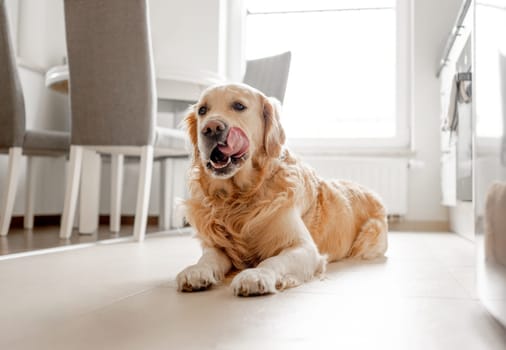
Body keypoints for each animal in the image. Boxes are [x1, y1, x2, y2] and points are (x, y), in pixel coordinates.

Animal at [178, 83, 388, 296]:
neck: (240, 197)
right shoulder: (216, 245)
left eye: (238, 106)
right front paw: (196, 270)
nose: (211, 128)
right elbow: (208, 258)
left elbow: (272, 261)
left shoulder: (304, 247)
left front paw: (256, 275)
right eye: (202, 110)